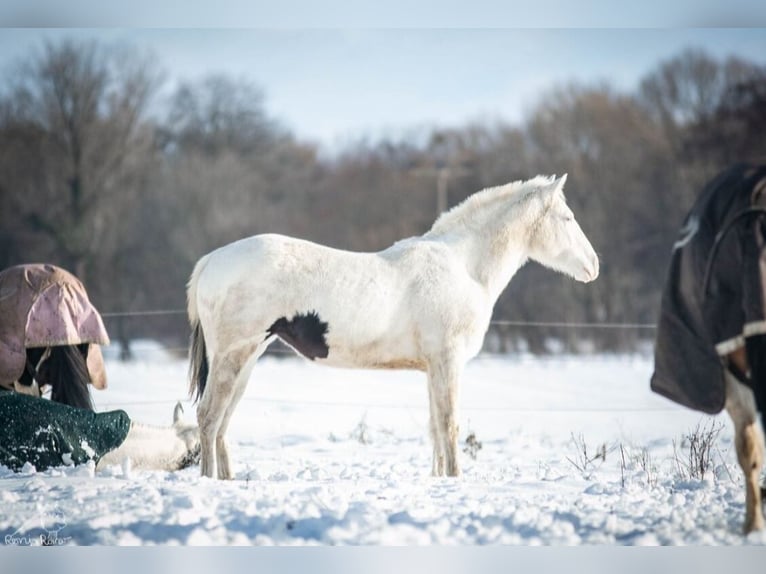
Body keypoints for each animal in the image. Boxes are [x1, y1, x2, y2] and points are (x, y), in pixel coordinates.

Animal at [186, 176, 600, 482]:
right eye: (567, 218)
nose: (593, 265)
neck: (464, 267)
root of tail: (212, 260)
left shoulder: (433, 368)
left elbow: (435, 429)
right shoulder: (448, 362)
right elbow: (449, 425)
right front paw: (455, 480)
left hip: (247, 359)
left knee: (222, 423)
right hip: (233, 357)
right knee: (208, 418)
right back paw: (208, 481)